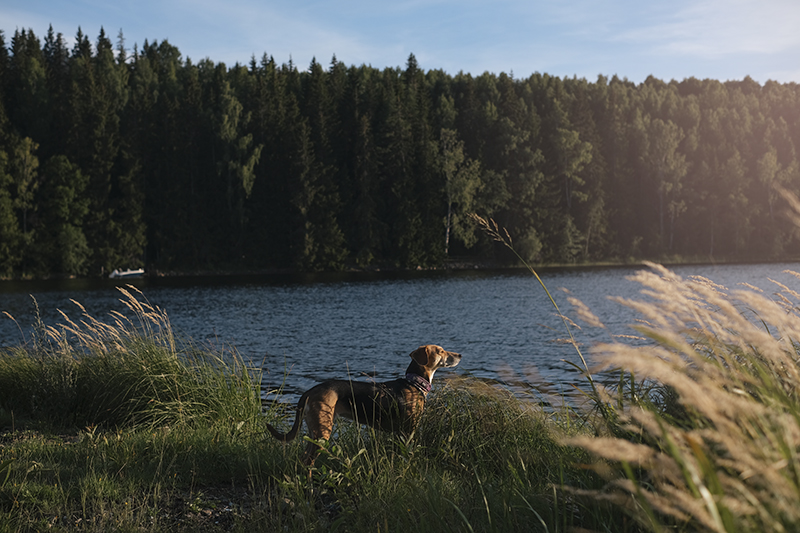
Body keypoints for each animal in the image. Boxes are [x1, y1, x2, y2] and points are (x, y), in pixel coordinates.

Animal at [266, 342, 460, 464]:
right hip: (323, 431)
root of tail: (310, 391)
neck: (414, 383)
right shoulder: (408, 430)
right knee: (308, 462)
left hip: (314, 431)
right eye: (440, 351)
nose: (460, 354)